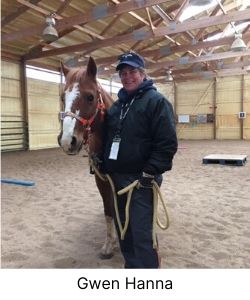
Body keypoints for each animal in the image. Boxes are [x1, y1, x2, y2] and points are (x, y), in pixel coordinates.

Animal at [58, 57, 116, 258]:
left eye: (90, 97)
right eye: (63, 97)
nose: (67, 140)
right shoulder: (102, 181)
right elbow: (109, 211)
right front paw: (108, 245)